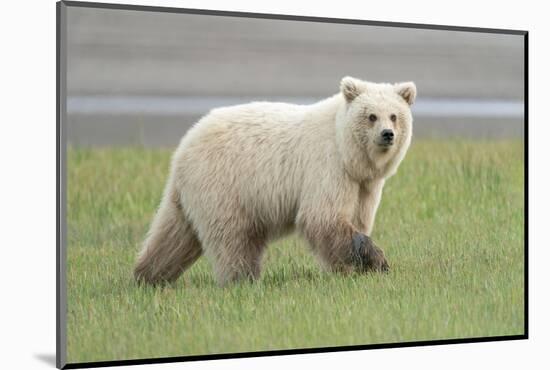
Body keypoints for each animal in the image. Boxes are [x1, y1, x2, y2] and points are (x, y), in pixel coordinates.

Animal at [135, 77, 418, 286]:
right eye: (371, 116)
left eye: (394, 115)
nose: (387, 134)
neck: (348, 152)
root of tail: (183, 146)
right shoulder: (327, 168)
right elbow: (322, 218)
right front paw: (377, 261)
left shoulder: (363, 185)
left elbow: (355, 219)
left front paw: (351, 268)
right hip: (224, 184)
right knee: (234, 238)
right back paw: (242, 279)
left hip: (192, 194)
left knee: (174, 235)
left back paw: (147, 276)